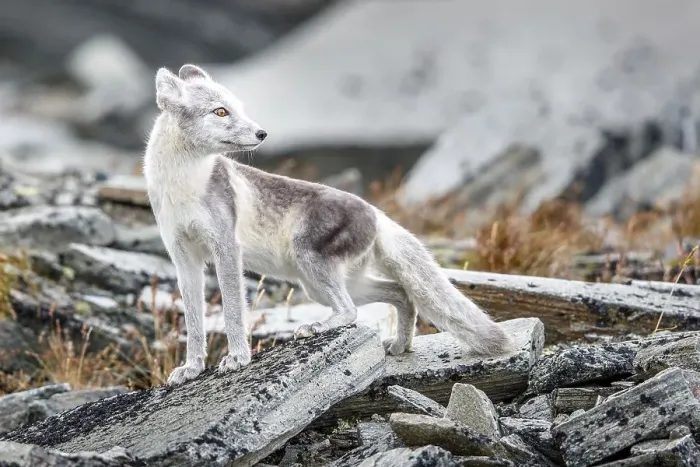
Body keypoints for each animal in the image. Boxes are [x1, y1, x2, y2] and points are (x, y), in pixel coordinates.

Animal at [143, 63, 516, 386]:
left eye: (239, 108)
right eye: (220, 112)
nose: (262, 133)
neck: (184, 186)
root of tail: (377, 213)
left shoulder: (226, 249)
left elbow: (234, 311)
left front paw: (237, 358)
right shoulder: (183, 259)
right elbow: (194, 322)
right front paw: (191, 369)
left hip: (311, 265)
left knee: (351, 311)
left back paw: (316, 328)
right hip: (324, 284)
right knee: (401, 293)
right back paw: (400, 346)